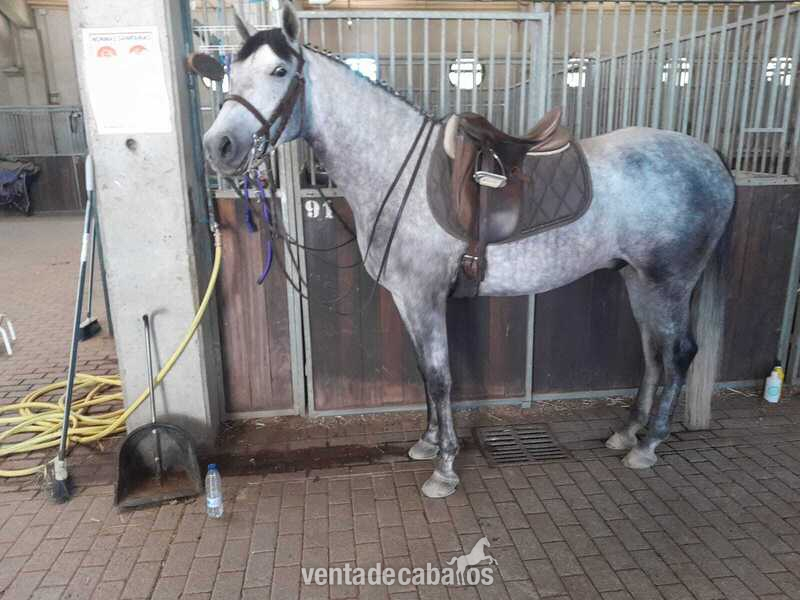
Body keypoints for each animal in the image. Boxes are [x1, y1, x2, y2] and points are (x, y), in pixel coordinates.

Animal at [203, 2, 736, 499]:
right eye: (231, 70)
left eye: (279, 71)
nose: (218, 146)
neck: (397, 168)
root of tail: (710, 159)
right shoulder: (408, 299)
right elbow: (424, 372)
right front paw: (426, 443)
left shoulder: (424, 297)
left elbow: (441, 378)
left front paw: (444, 469)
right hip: (635, 278)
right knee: (652, 353)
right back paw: (627, 433)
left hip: (669, 283)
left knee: (679, 354)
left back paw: (649, 446)